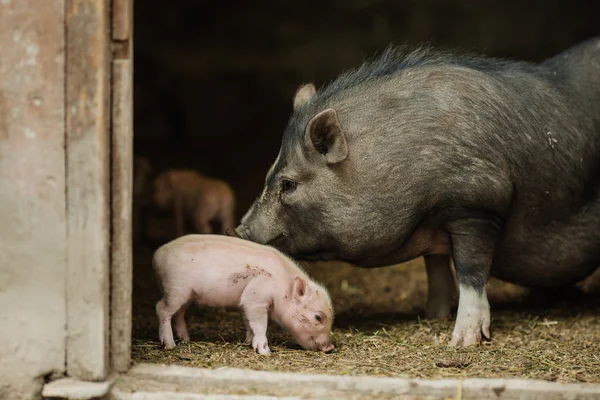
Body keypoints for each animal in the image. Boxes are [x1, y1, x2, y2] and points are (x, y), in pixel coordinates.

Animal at [152, 234, 336, 354]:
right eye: (318, 317)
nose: (330, 348)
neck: (282, 287)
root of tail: (157, 255)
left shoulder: (245, 302)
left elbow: (248, 323)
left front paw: (249, 342)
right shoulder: (256, 299)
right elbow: (260, 325)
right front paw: (265, 352)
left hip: (186, 295)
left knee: (179, 313)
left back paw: (186, 339)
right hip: (176, 288)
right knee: (161, 309)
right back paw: (170, 345)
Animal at [233, 39, 600, 348]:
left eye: (289, 184)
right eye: (269, 175)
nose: (239, 230)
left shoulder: (478, 205)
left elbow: (470, 270)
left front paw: (462, 342)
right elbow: (436, 267)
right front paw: (433, 315)